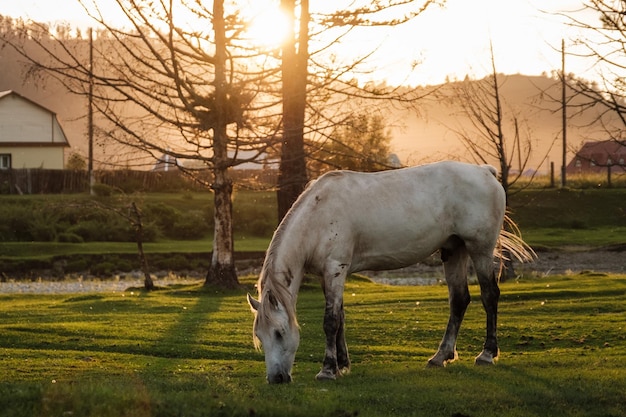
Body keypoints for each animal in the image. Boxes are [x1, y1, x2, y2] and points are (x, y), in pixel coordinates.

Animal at [246, 160, 528, 384]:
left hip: (480, 249)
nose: (276, 379)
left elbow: (331, 321)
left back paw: (487, 354)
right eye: (259, 335)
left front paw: (327, 370)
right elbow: (341, 318)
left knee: (490, 296)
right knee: (459, 300)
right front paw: (343, 364)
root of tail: (485, 171)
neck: (319, 214)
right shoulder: (330, 275)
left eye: (279, 333)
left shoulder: (335, 269)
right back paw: (440, 357)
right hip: (453, 249)